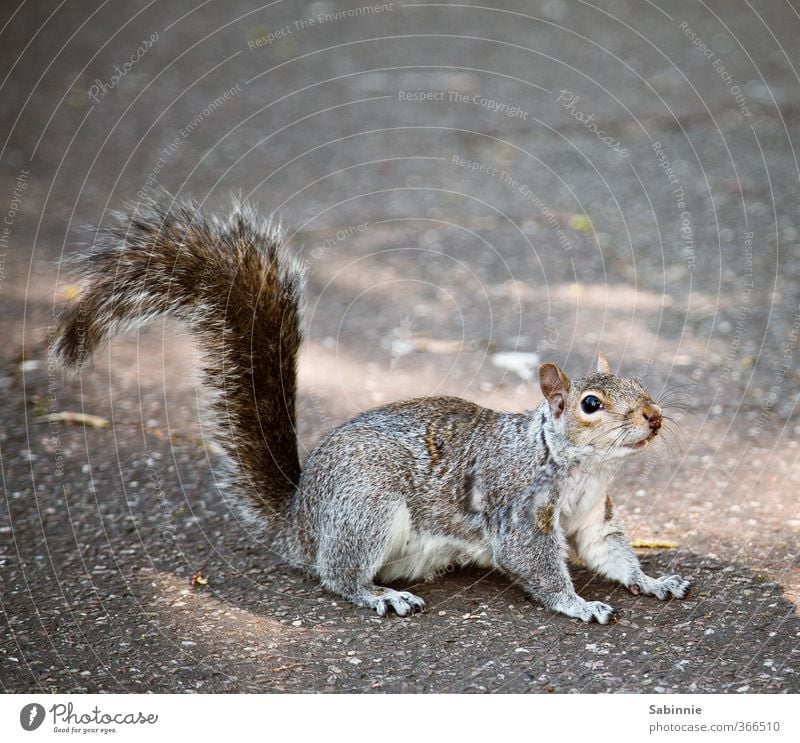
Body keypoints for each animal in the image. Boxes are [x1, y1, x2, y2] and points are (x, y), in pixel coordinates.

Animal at [53, 196, 692, 620]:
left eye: (639, 382)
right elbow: (535, 563)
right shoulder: (519, 509)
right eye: (591, 403)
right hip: (368, 509)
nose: (654, 418)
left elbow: (610, 554)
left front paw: (653, 580)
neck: (579, 467)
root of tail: (300, 520)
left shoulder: (593, 519)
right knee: (336, 576)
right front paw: (579, 604)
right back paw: (380, 594)